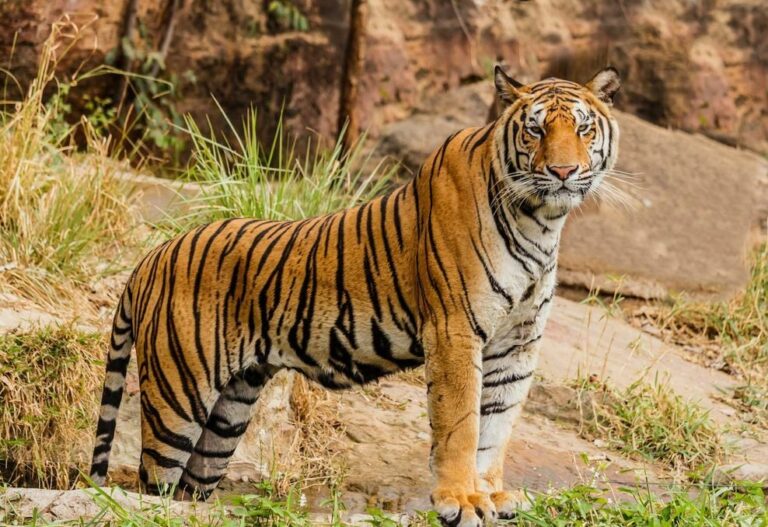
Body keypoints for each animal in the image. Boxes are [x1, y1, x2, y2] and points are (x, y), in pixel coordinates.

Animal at [90, 65, 620, 525]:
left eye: (583, 129)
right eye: (535, 130)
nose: (563, 171)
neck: (541, 221)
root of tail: (150, 257)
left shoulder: (518, 344)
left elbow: (496, 426)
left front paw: (491, 495)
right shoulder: (455, 331)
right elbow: (462, 424)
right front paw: (461, 500)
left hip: (229, 412)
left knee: (189, 488)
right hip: (177, 397)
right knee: (151, 483)